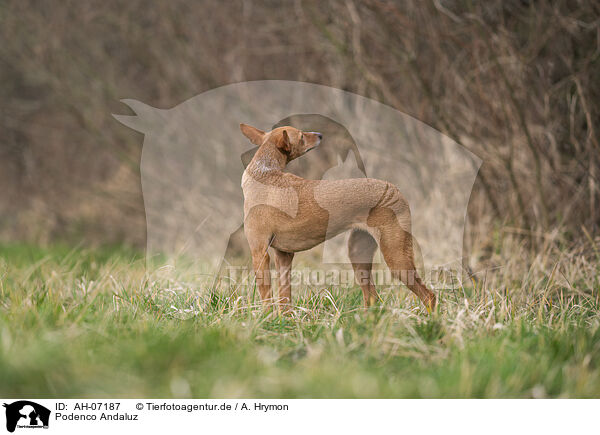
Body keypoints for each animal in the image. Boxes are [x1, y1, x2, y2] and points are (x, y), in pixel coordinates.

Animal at [239, 122, 436, 314]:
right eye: (302, 136)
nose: (320, 135)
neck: (264, 173)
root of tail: (394, 189)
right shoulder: (283, 255)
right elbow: (284, 299)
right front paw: (284, 320)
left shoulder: (260, 253)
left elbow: (267, 298)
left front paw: (266, 318)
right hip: (359, 256)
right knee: (372, 297)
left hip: (395, 256)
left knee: (429, 296)